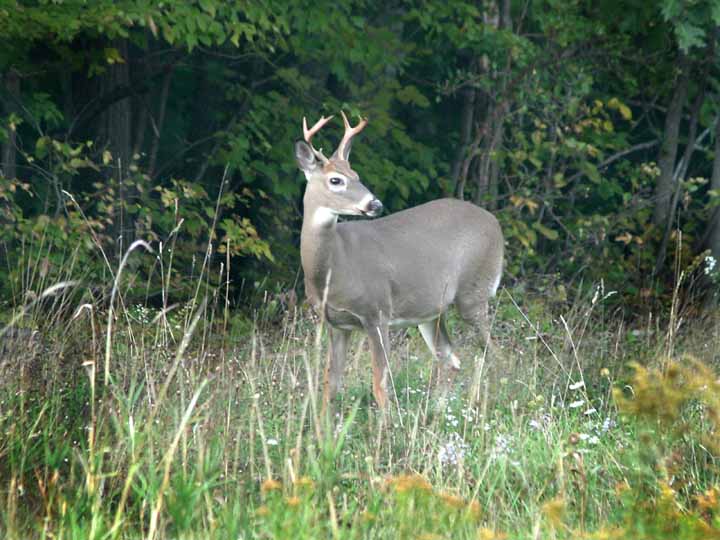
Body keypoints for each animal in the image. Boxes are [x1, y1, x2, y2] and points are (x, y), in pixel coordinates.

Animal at [296, 110, 504, 410]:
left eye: (356, 175)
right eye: (336, 180)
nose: (375, 204)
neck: (332, 268)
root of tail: (495, 223)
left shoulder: (377, 312)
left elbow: (380, 384)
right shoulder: (335, 323)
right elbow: (330, 385)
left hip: (473, 294)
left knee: (495, 354)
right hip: (431, 311)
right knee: (450, 359)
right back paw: (438, 411)